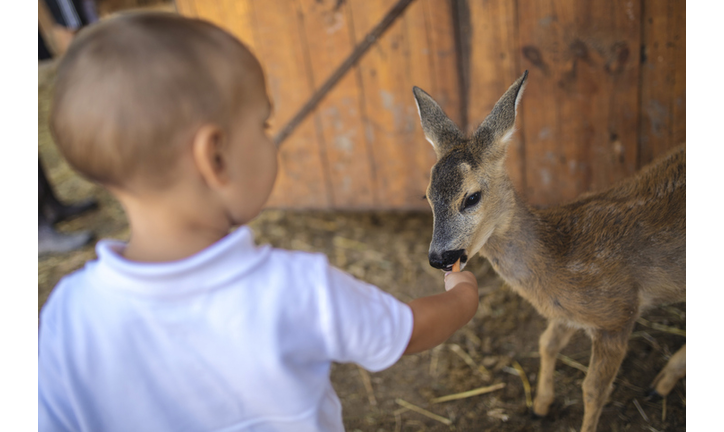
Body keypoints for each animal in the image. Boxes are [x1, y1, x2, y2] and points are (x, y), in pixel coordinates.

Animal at [412, 71, 685, 432]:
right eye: (427, 197)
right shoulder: (566, 312)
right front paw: (540, 406)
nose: (440, 258)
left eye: (471, 197)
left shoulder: (618, 314)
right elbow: (547, 343)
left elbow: (594, 389)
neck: (562, 257)